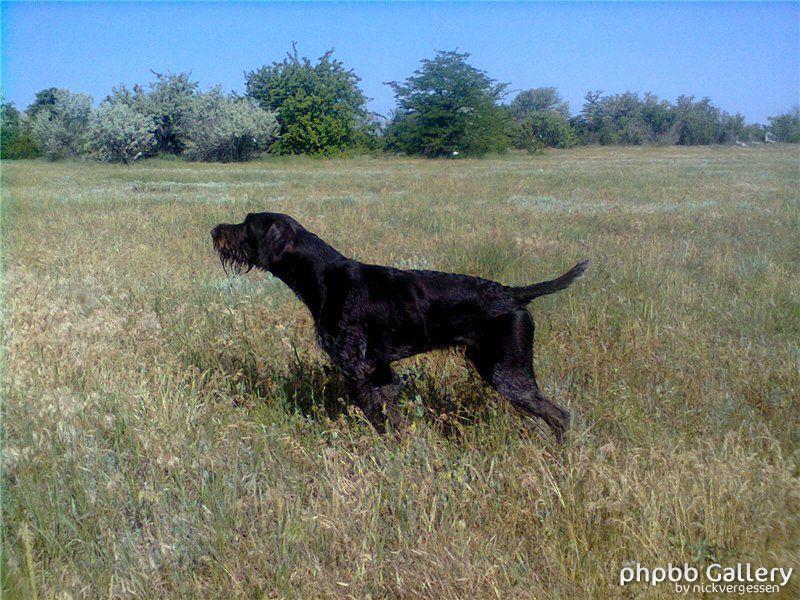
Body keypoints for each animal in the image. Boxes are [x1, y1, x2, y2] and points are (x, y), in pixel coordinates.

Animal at [212, 213, 588, 438]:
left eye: (247, 225)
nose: (214, 229)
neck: (324, 278)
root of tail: (513, 293)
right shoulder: (379, 370)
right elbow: (391, 416)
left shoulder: (356, 367)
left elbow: (374, 417)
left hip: (508, 374)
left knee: (560, 415)